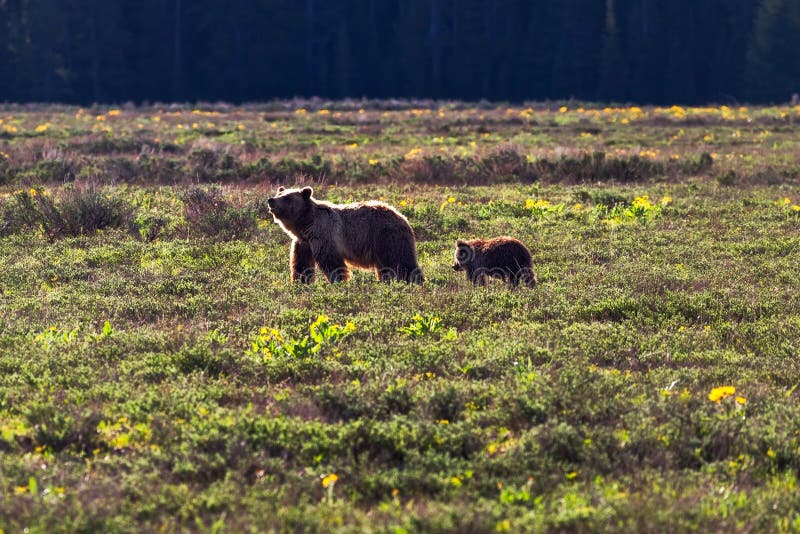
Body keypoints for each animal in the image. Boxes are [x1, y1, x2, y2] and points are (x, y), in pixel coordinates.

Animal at [268, 188, 422, 286]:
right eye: (279, 192)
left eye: (287, 197)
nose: (271, 200)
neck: (306, 225)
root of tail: (402, 216)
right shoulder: (303, 243)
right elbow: (301, 264)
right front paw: (300, 282)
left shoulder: (324, 235)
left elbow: (332, 263)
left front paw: (339, 281)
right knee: (386, 268)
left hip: (387, 237)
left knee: (402, 261)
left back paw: (415, 281)